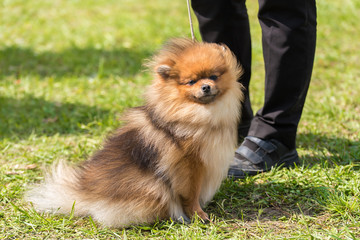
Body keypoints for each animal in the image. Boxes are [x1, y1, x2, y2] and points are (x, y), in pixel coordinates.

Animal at [26, 38, 245, 228]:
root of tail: (85, 195)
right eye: (191, 82)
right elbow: (190, 194)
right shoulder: (190, 165)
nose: (206, 86)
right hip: (152, 187)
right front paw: (198, 215)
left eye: (214, 76)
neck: (198, 114)